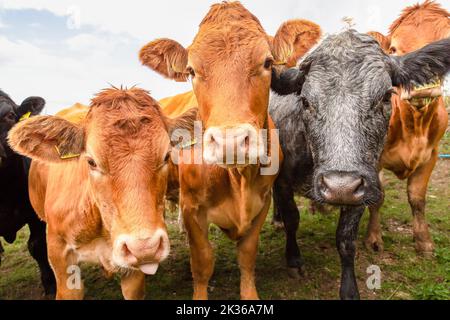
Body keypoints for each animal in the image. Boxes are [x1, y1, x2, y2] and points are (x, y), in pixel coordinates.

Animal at [140, 1, 320, 298]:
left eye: (267, 62)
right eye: (191, 71)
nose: (231, 142)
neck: (237, 179)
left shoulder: (262, 203)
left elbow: (247, 255)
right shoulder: (192, 209)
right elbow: (202, 262)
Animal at [268, 30, 450, 300]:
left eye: (386, 96)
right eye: (305, 101)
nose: (339, 186)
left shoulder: (361, 187)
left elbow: (346, 240)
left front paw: (349, 289)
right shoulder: (281, 181)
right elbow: (292, 219)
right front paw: (294, 260)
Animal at [368, 0, 448, 255]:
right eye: (393, 49)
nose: (422, 87)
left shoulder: (431, 154)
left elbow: (417, 197)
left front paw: (424, 241)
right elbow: (378, 196)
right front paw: (374, 239)